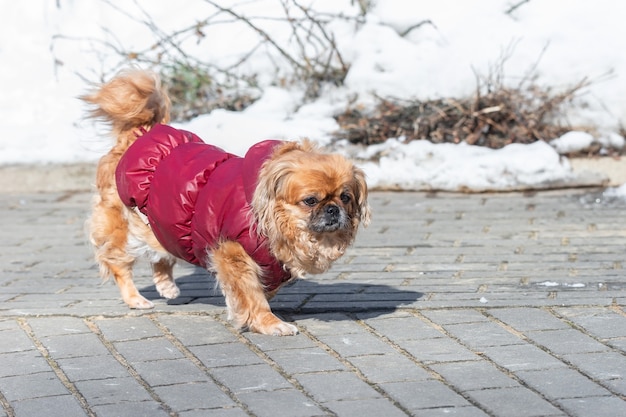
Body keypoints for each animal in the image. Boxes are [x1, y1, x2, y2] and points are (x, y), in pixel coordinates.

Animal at [80, 68, 368, 334]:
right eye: (310, 200)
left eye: (345, 197)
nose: (333, 209)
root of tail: (139, 135)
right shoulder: (233, 255)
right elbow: (252, 294)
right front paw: (269, 323)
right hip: (127, 229)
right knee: (116, 262)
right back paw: (135, 298)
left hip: (160, 224)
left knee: (161, 254)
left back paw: (167, 286)